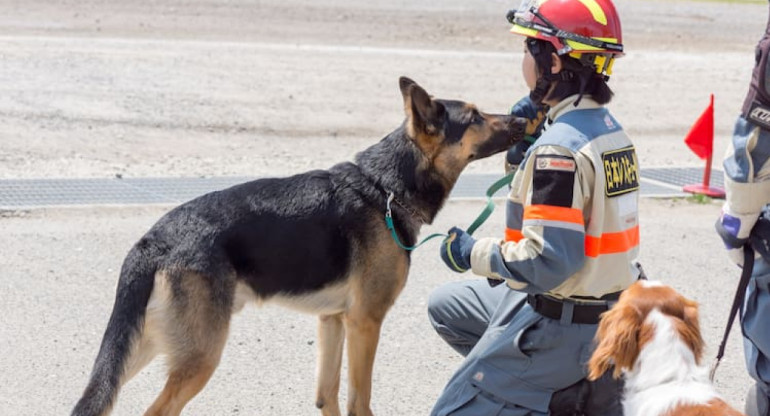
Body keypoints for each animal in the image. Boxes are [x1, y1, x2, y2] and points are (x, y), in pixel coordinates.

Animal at [72, 77, 524, 416]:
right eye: (475, 116)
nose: (523, 119)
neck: (386, 187)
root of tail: (154, 239)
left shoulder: (333, 321)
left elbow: (328, 398)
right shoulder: (365, 323)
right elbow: (359, 402)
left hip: (143, 346)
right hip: (199, 354)